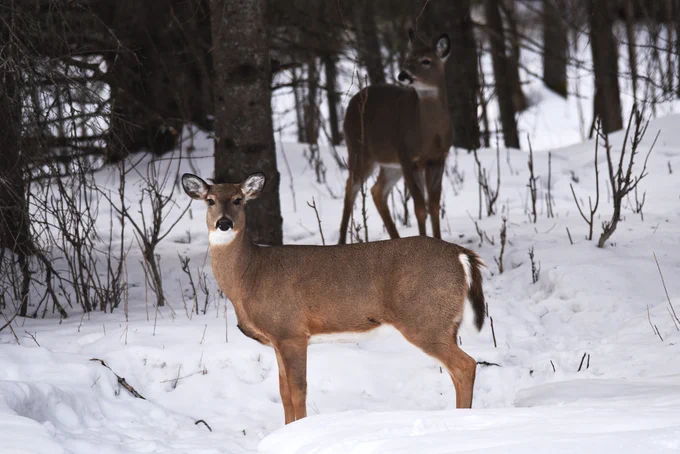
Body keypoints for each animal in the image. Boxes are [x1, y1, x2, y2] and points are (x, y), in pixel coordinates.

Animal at [182, 172, 486, 424]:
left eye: (238, 199)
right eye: (210, 201)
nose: (224, 223)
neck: (249, 274)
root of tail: (461, 254)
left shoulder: (291, 332)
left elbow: (298, 390)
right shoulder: (278, 339)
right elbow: (283, 392)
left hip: (425, 319)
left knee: (465, 365)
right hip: (444, 323)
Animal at [339, 29, 453, 244]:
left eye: (426, 60)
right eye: (407, 59)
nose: (403, 74)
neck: (429, 135)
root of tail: (351, 102)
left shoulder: (438, 159)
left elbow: (434, 205)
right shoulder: (408, 157)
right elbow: (419, 207)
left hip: (391, 164)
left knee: (377, 191)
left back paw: (395, 239)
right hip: (359, 150)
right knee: (351, 188)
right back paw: (341, 242)